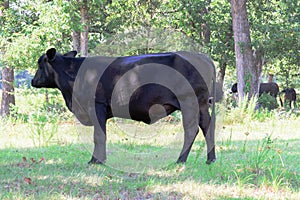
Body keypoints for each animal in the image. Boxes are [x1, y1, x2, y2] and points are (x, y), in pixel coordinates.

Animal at [31, 48, 217, 166]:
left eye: (40, 64)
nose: (32, 81)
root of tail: (203, 57)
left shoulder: (96, 106)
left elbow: (99, 135)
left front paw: (96, 161)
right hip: (201, 105)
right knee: (207, 126)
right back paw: (210, 159)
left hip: (189, 102)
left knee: (191, 129)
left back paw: (180, 160)